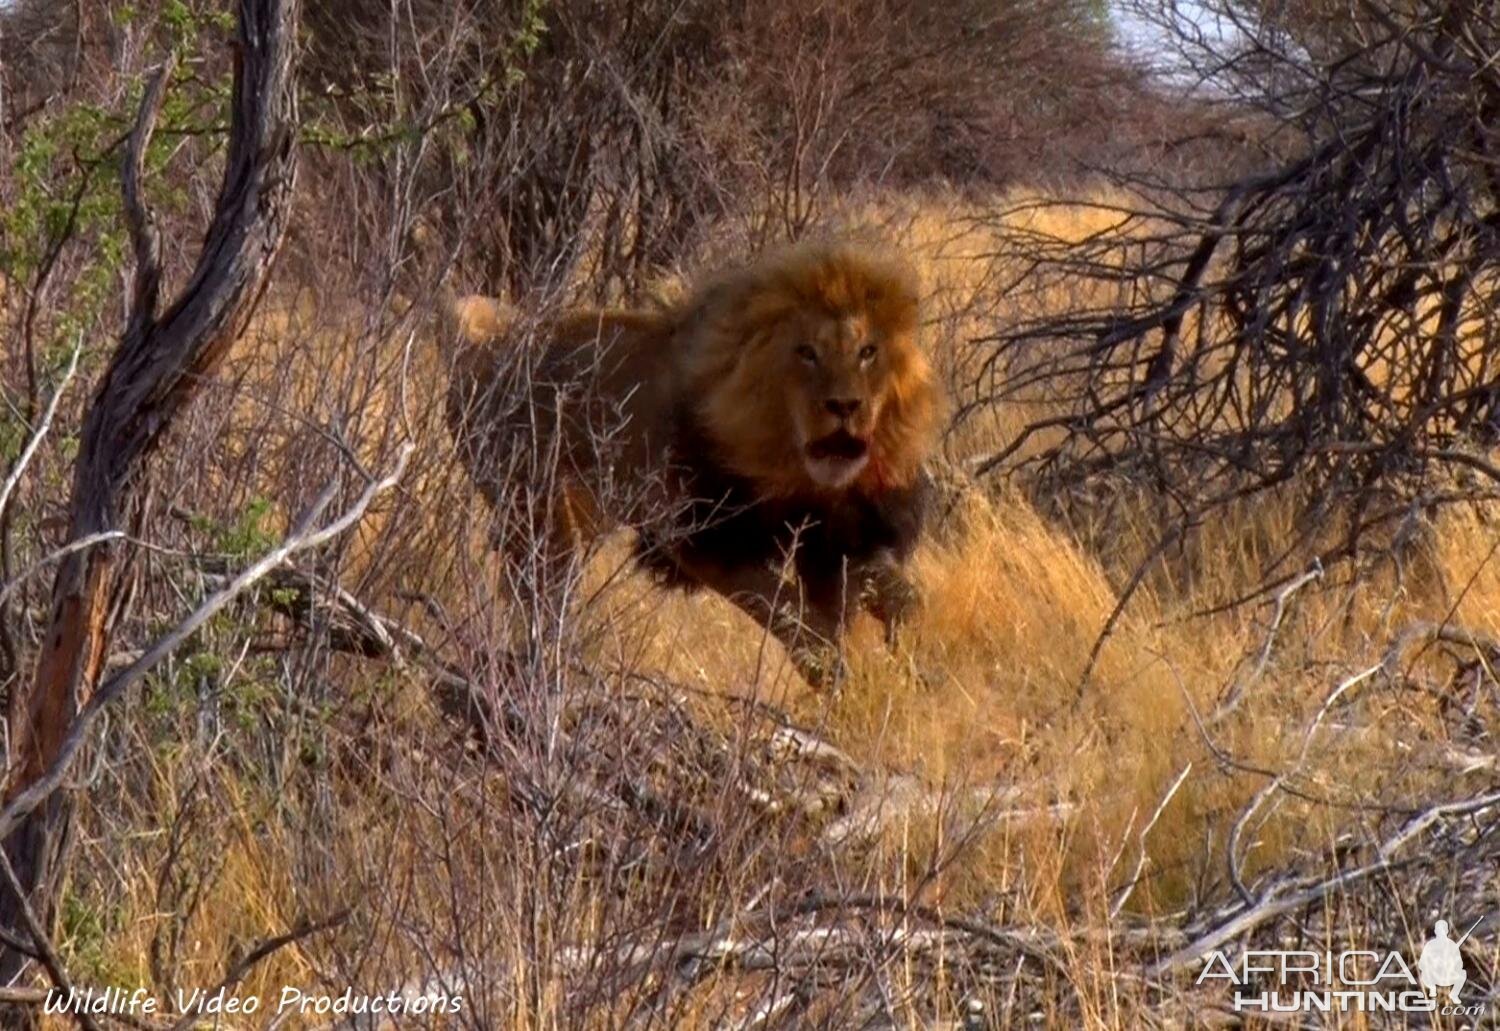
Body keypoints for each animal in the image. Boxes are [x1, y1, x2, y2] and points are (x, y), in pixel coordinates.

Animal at [438, 241, 942, 684]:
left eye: (868, 352)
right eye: (807, 353)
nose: (845, 405)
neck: (791, 467)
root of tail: (492, 336)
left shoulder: (840, 535)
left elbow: (906, 600)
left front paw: (914, 664)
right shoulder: (701, 540)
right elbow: (789, 614)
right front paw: (838, 677)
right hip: (537, 510)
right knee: (540, 595)